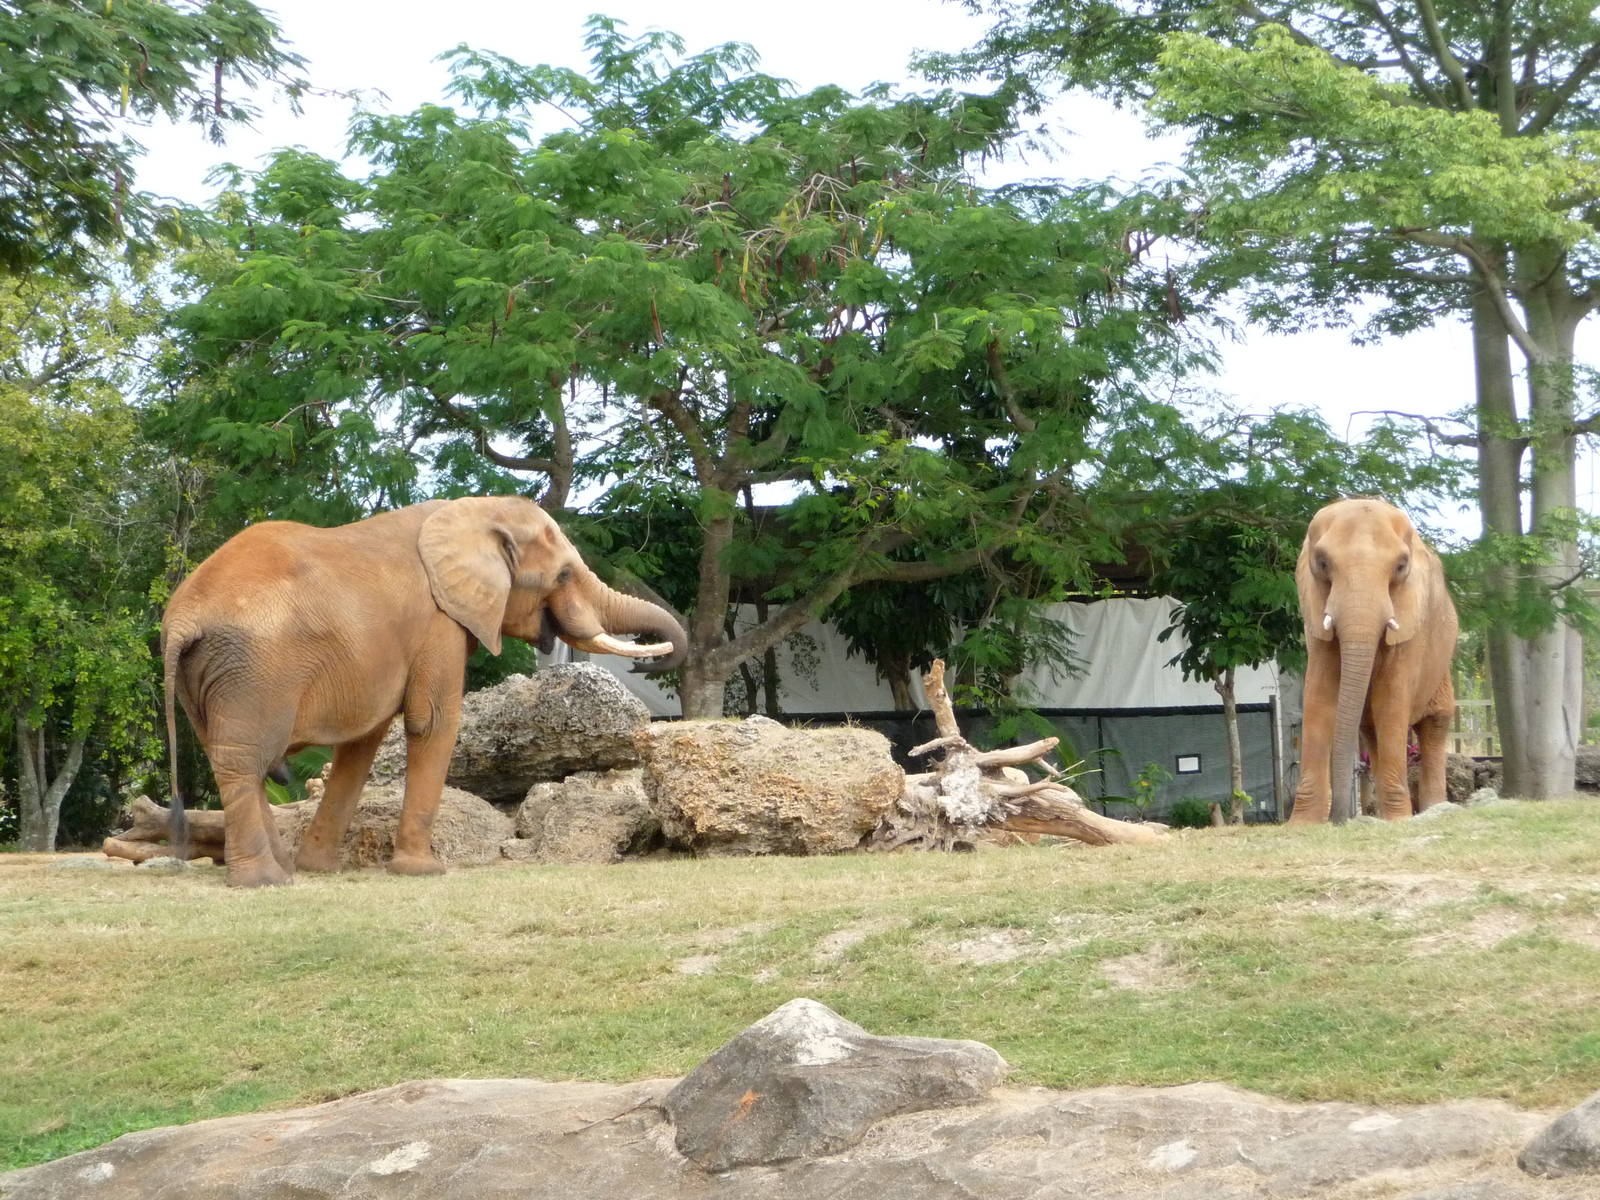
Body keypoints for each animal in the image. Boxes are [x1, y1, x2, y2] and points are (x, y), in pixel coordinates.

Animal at [161, 495, 686, 886]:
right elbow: (432, 722)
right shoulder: (438, 622)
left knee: (236, 759)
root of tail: (182, 618)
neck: (470, 513)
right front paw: (425, 871)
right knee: (243, 759)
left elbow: (364, 743)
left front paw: (320, 869)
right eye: (561, 575)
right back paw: (264, 881)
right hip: (252, 670)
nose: (658, 659)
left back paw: (285, 872)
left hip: (210, 675)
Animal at [1288, 498, 1458, 824]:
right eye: (1323, 563)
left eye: (1401, 566)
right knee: (1372, 731)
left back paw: (1434, 810)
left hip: (1441, 666)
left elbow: (1390, 701)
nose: (1340, 820)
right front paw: (1301, 824)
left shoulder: (1410, 622)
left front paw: (1400, 821)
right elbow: (1319, 696)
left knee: (1435, 725)